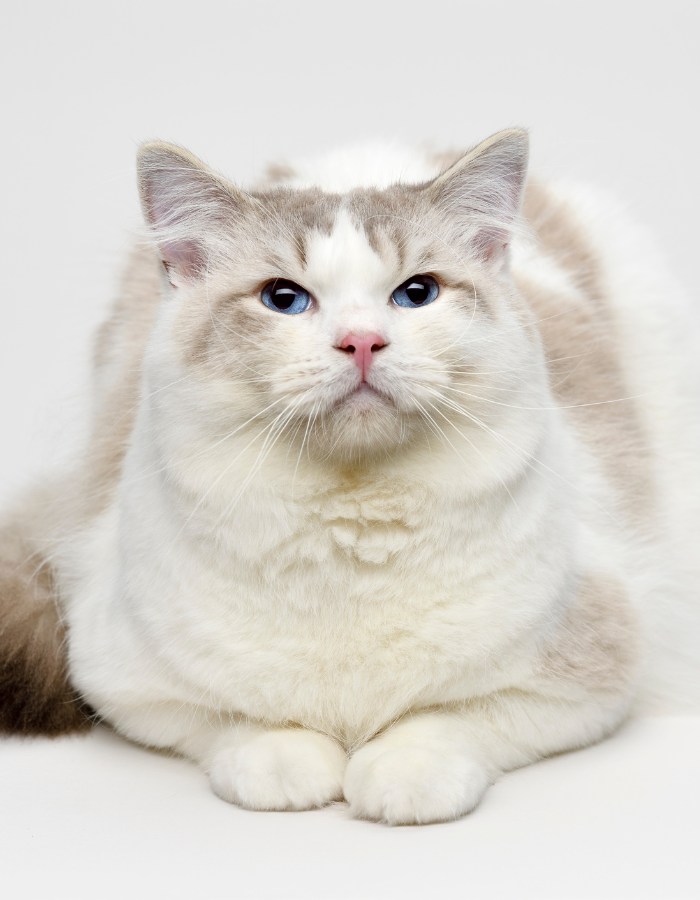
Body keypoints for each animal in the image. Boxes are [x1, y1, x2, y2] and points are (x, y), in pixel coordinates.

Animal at [1, 126, 700, 824]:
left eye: (417, 294)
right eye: (283, 299)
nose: (362, 341)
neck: (353, 522)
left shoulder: (592, 679)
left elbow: (449, 720)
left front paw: (402, 776)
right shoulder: (123, 680)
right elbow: (241, 722)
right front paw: (288, 766)